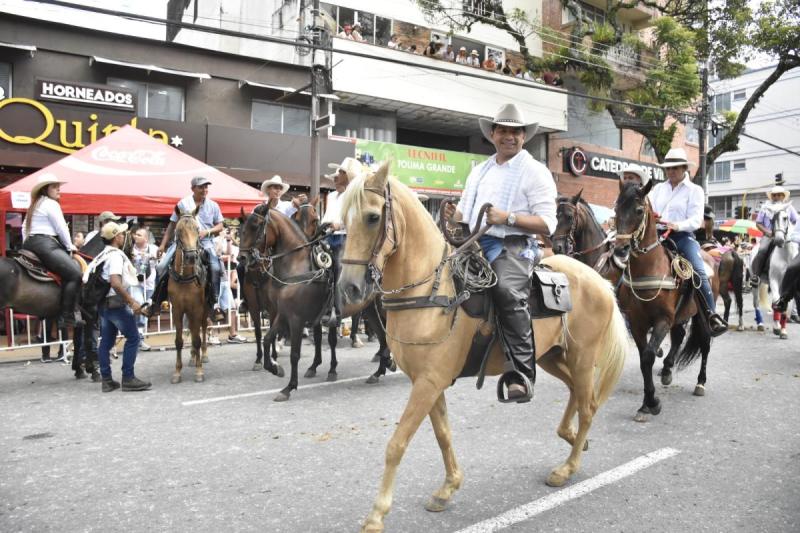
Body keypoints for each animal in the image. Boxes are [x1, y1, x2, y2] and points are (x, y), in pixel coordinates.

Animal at [338, 164, 632, 528]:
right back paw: (574, 437)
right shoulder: (428, 382)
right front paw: (448, 488)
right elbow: (443, 434)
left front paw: (376, 515)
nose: (349, 289)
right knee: (578, 393)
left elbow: (397, 443)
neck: (433, 291)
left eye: (372, 217)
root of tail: (600, 281)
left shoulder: (428, 382)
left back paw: (567, 467)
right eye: (342, 218)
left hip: (582, 357)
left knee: (589, 404)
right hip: (550, 357)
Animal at [612, 181, 720, 422]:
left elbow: (649, 355)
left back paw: (700, 383)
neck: (650, 268)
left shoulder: (663, 319)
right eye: (615, 210)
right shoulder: (637, 323)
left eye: (639, 210)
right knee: (679, 336)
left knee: (705, 344)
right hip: (681, 315)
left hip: (701, 316)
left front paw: (652, 403)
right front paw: (647, 403)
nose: (620, 249)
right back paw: (668, 369)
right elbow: (644, 358)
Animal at [760, 208, 796, 336]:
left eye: (785, 218)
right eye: (772, 220)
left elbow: (784, 303)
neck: (786, 256)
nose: (779, 240)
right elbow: (776, 301)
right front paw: (777, 327)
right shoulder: (774, 279)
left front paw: (783, 331)